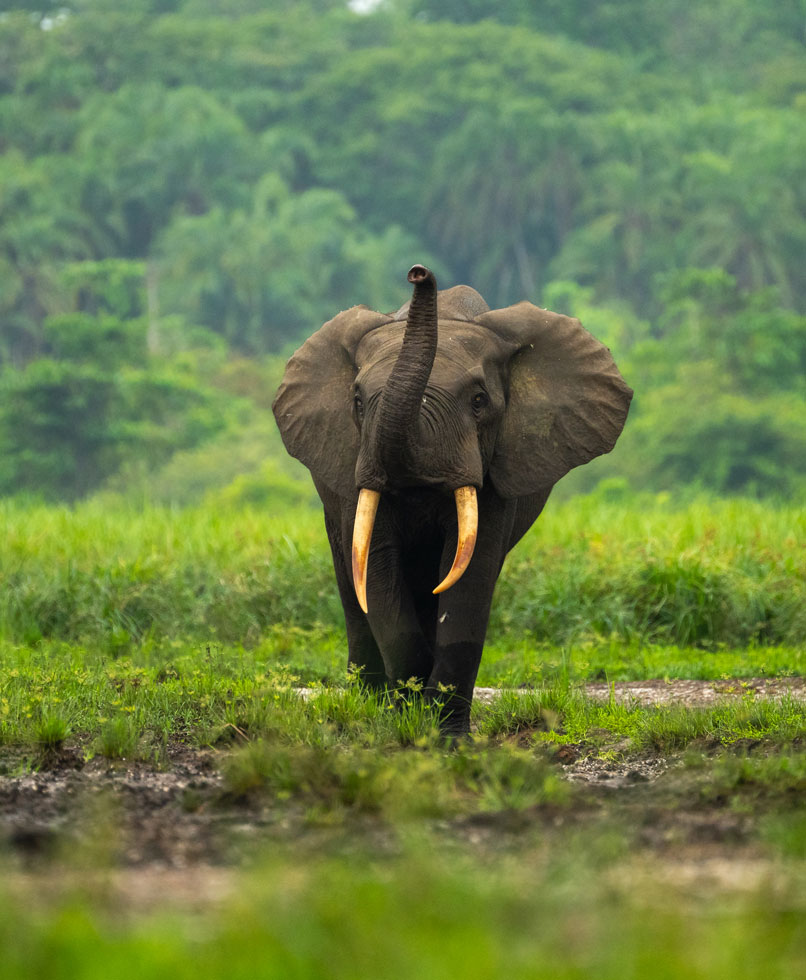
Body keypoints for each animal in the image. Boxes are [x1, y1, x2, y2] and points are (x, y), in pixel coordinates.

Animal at [273, 265, 632, 735]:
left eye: (479, 401)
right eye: (357, 401)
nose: (418, 272)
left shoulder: (494, 473)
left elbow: (469, 579)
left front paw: (444, 734)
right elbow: (378, 571)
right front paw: (407, 717)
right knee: (353, 583)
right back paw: (369, 703)